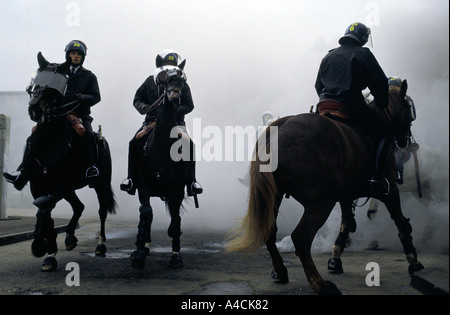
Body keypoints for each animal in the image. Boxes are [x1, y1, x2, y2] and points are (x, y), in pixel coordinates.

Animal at [22, 53, 116, 272]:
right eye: (37, 78)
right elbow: (46, 214)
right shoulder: (39, 186)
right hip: (70, 190)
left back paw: (100, 246)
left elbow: (44, 210)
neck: (50, 141)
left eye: (55, 85)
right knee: (78, 206)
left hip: (99, 184)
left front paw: (39, 244)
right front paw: (49, 253)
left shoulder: (61, 184)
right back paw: (70, 237)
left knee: (101, 211)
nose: (35, 110)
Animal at [129, 65, 194, 270]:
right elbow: (146, 214)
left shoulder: (177, 190)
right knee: (147, 216)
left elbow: (175, 222)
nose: (174, 93)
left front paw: (176, 256)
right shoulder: (143, 186)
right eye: (164, 80)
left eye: (182, 80)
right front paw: (138, 254)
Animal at [227, 79, 424, 296]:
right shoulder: (390, 191)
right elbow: (401, 223)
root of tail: (279, 128)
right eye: (408, 108)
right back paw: (320, 285)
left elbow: (346, 223)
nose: (405, 140)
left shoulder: (347, 195)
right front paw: (413, 261)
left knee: (269, 230)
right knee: (301, 238)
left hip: (276, 196)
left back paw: (280, 271)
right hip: (320, 202)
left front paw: (335, 258)